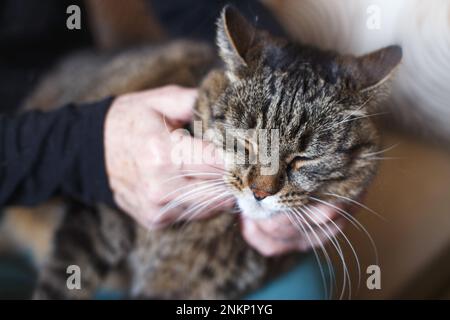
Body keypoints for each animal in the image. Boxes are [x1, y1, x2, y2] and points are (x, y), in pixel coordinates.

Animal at [1, 6, 402, 298]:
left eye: (305, 159)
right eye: (246, 141)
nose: (260, 192)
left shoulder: (189, 285)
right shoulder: (97, 216)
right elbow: (62, 283)